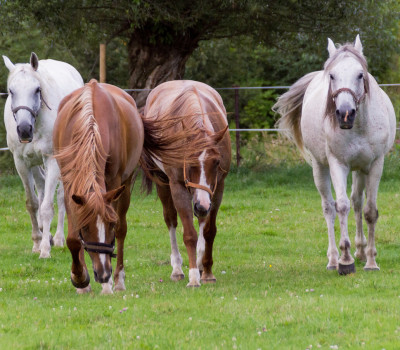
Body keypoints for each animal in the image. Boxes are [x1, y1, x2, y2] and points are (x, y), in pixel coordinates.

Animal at [2, 53, 84, 258]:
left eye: (37, 89)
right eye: (11, 91)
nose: (24, 129)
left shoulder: (52, 160)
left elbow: (48, 206)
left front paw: (46, 249)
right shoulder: (21, 163)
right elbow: (32, 203)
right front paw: (38, 242)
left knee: (62, 196)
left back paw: (60, 239)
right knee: (41, 190)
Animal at [52, 80, 144, 294]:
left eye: (110, 225)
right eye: (85, 228)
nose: (103, 274)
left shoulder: (114, 183)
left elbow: (118, 229)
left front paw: (108, 284)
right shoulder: (71, 185)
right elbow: (73, 238)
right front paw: (80, 278)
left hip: (125, 185)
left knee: (123, 230)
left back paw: (118, 280)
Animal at [142, 80, 233, 288]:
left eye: (216, 162)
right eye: (189, 162)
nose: (202, 205)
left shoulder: (217, 189)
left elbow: (209, 231)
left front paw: (207, 272)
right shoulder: (178, 187)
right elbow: (189, 233)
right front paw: (193, 277)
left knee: (201, 222)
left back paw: (199, 264)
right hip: (164, 185)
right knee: (171, 221)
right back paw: (177, 269)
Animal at [274, 36, 396, 276]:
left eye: (360, 74)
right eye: (332, 75)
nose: (345, 114)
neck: (359, 126)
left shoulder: (375, 165)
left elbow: (369, 211)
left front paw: (370, 260)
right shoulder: (337, 165)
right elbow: (341, 206)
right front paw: (346, 259)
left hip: (360, 170)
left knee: (357, 201)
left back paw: (361, 250)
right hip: (320, 168)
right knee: (329, 208)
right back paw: (333, 259)